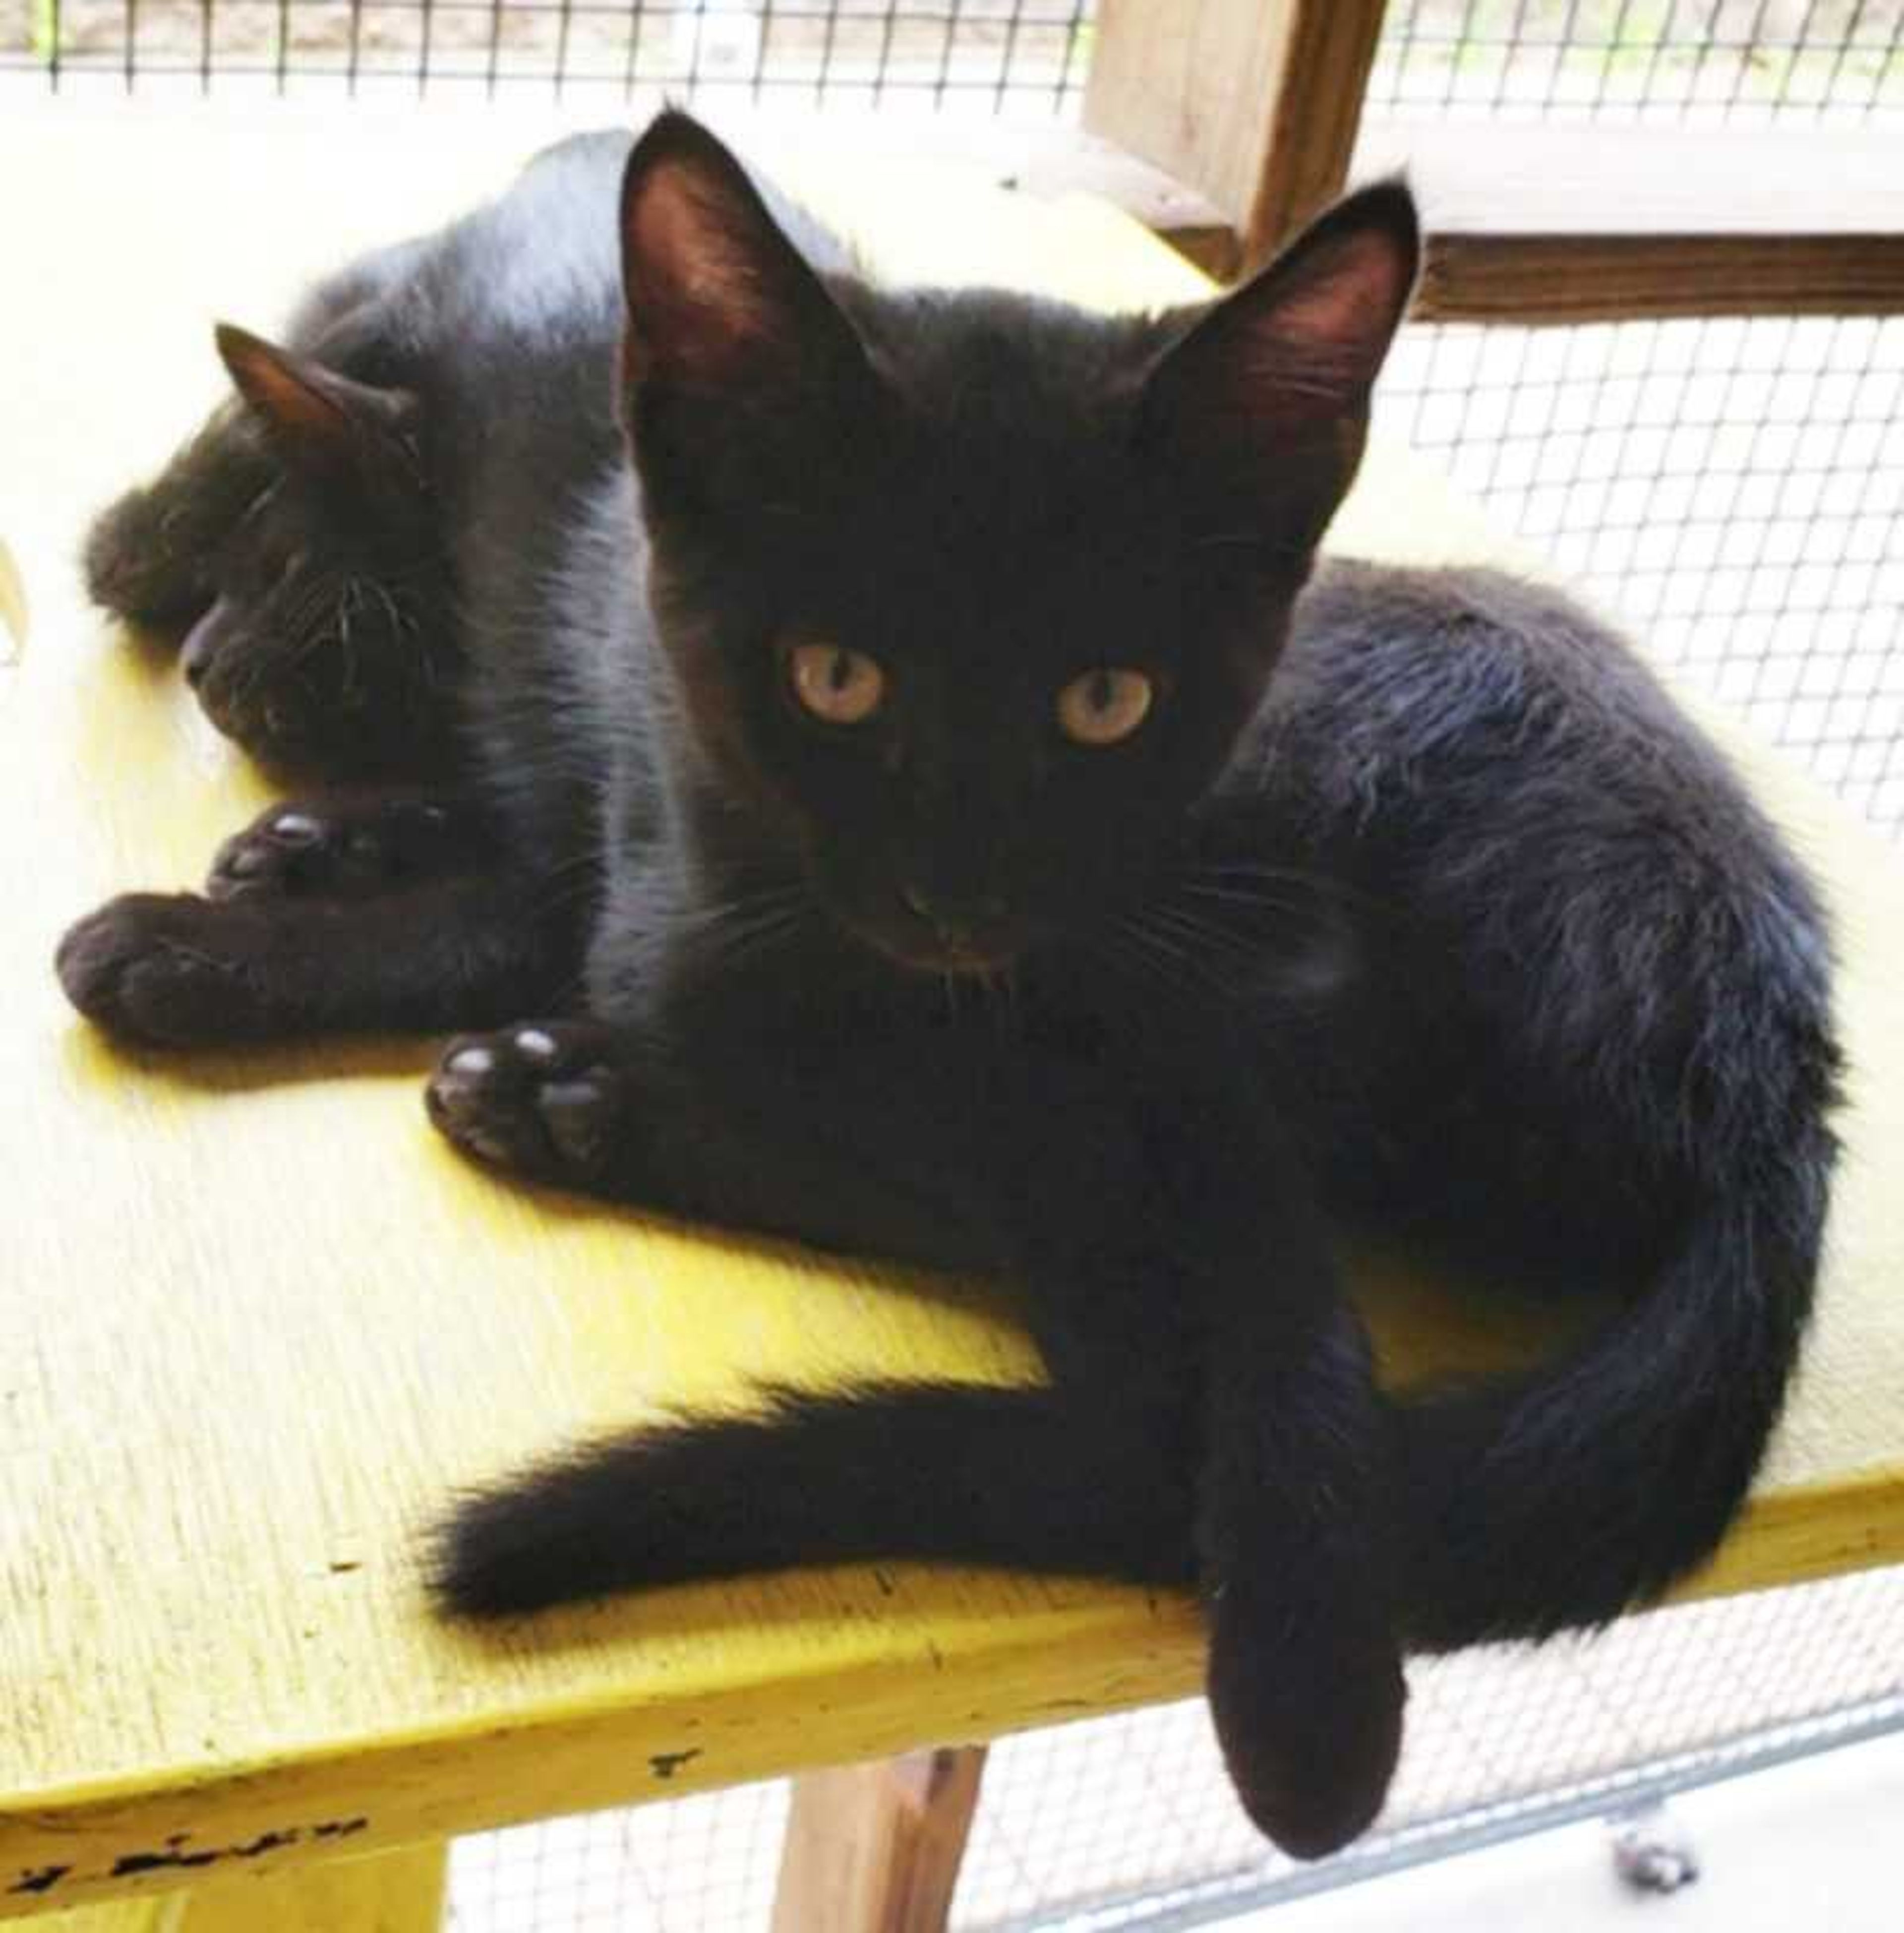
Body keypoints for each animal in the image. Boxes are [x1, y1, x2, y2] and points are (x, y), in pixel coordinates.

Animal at [63, 110, 1840, 1856]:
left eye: (1110, 702)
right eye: (837, 678)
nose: (956, 894)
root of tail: (1772, 1070)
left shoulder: (1033, 981)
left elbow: (1234, 1275)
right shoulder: (678, 890)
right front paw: (288, 875)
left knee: (1122, 1308)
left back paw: (566, 1102)